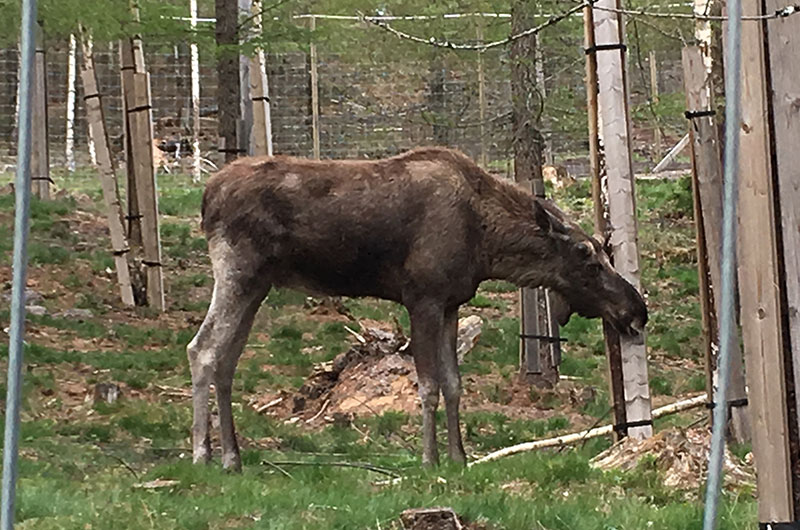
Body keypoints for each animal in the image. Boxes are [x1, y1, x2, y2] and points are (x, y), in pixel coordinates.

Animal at [188, 147, 648, 470]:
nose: (637, 310)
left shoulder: (451, 305)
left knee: (226, 359)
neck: (486, 243)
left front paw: (459, 458)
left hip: (257, 286)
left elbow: (454, 384)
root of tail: (206, 198)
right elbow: (427, 386)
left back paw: (232, 457)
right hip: (238, 273)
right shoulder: (421, 300)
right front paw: (429, 461)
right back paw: (202, 454)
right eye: (587, 256)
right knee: (202, 349)